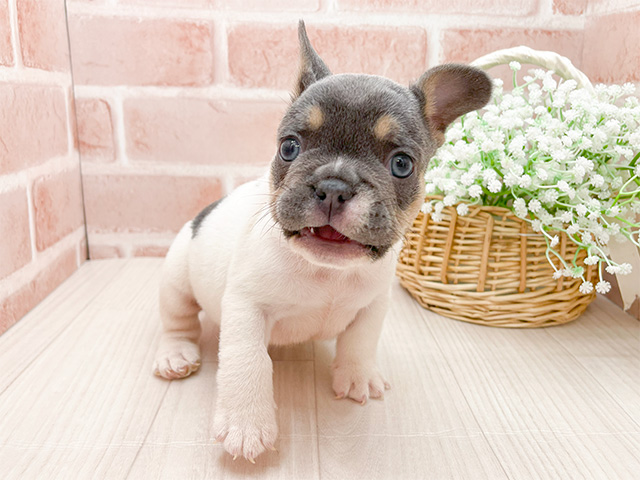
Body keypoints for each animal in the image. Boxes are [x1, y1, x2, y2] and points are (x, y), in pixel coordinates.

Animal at [152, 21, 492, 462]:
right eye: (289, 147)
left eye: (402, 164)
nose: (333, 186)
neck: (327, 272)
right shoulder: (246, 306)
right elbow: (248, 361)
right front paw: (247, 424)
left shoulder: (374, 304)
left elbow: (360, 342)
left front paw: (358, 376)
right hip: (177, 278)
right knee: (177, 319)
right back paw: (176, 354)